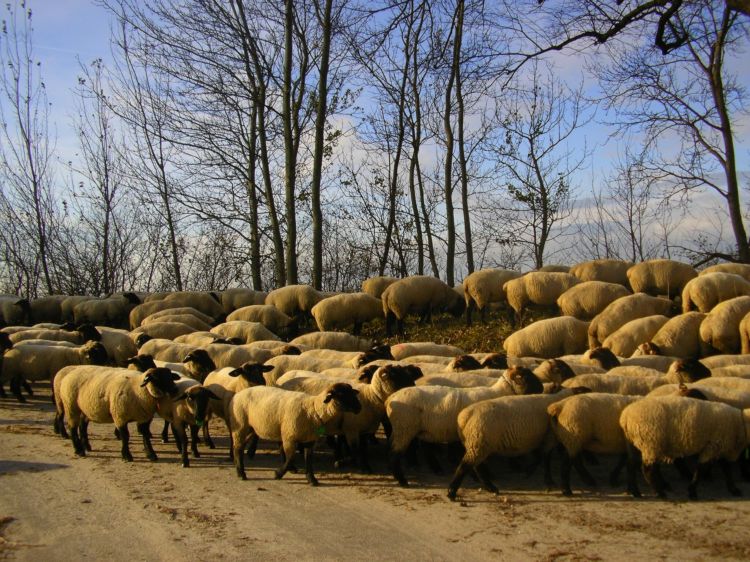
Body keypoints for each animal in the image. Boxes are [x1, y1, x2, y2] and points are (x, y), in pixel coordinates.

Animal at [228, 382, 362, 484]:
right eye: (341, 395)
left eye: (352, 393)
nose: (359, 408)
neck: (313, 410)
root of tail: (237, 394)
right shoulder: (289, 437)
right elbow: (291, 458)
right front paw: (278, 474)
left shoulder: (310, 441)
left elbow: (308, 460)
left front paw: (312, 479)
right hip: (240, 425)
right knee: (238, 448)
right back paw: (241, 473)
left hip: (252, 428)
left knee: (239, 447)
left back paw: (238, 469)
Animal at [385, 366, 544, 486]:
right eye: (526, 376)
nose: (542, 388)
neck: (498, 392)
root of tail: (390, 399)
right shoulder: (482, 434)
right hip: (404, 428)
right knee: (395, 453)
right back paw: (402, 480)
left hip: (413, 429)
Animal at [447, 387, 587, 500]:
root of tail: (464, 417)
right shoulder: (549, 438)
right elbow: (544, 458)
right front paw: (542, 478)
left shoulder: (541, 439)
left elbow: (541, 457)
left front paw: (530, 471)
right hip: (479, 442)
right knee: (465, 466)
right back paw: (451, 492)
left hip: (477, 443)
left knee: (477, 466)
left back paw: (490, 488)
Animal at [619, 395, 750, 499]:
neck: (740, 423)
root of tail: (625, 417)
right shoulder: (712, 446)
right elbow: (702, 469)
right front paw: (692, 491)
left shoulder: (721, 447)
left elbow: (727, 470)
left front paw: (734, 489)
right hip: (651, 441)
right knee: (647, 469)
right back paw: (660, 493)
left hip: (635, 442)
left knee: (631, 465)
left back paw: (635, 492)